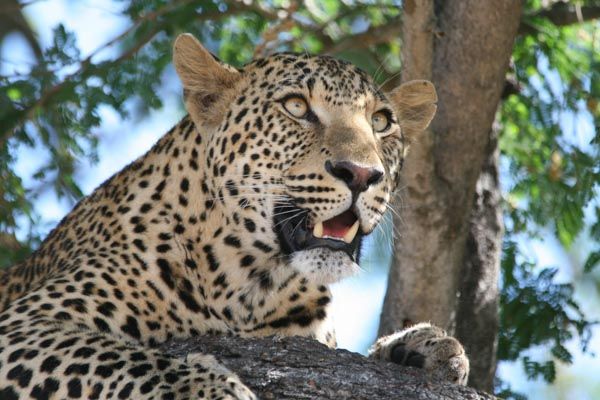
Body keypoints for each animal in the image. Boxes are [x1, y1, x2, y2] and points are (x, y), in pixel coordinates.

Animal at [0, 33, 468, 396]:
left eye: (382, 121)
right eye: (296, 107)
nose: (362, 174)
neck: (252, 284)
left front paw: (424, 345)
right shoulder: (23, 324)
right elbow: (126, 359)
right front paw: (214, 389)